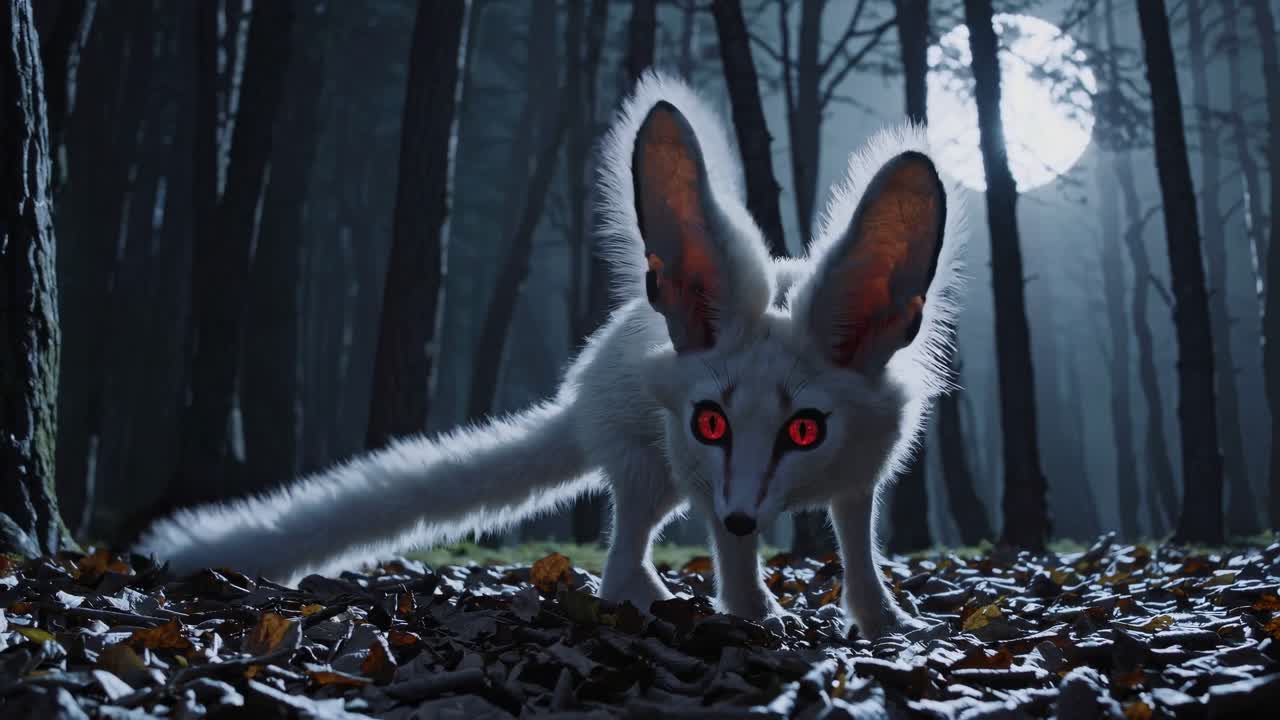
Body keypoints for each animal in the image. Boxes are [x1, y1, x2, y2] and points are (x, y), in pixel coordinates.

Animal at [136, 72, 965, 640]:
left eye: (805, 431)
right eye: (711, 423)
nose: (737, 516)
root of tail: (580, 391)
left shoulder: (862, 471)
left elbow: (857, 541)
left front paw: (884, 620)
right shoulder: (694, 462)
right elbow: (732, 551)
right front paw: (754, 612)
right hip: (646, 465)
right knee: (624, 553)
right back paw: (650, 602)